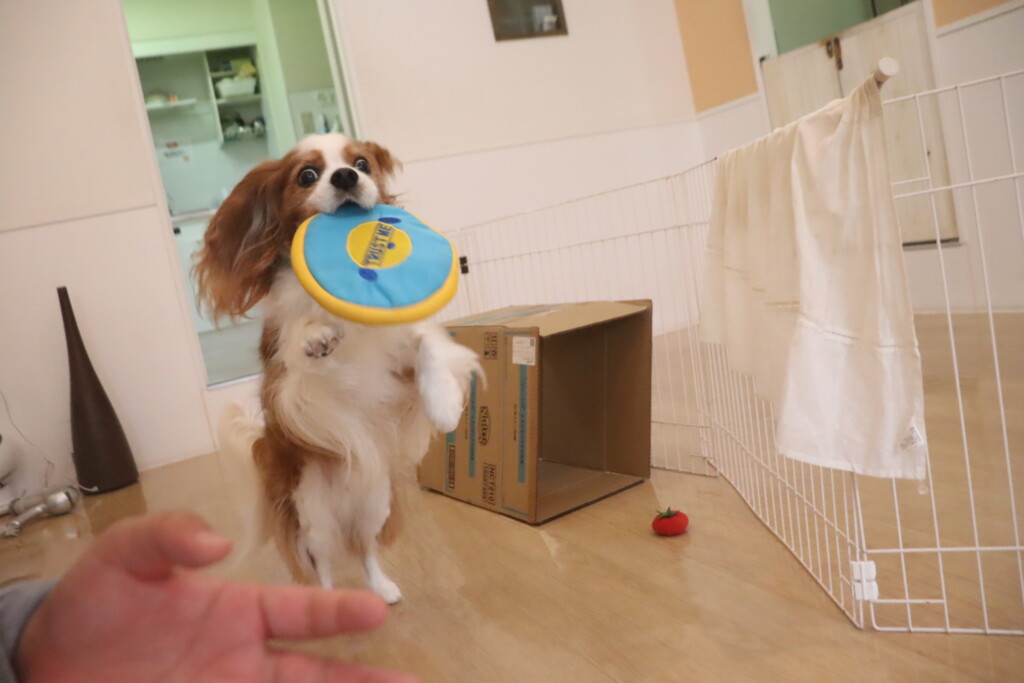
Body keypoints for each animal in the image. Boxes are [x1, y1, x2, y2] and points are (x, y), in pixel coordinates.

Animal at [195, 133, 479, 603]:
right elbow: (301, 347)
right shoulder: (289, 389)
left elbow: (428, 347)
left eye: (361, 163)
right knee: (323, 563)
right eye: (307, 175)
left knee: (365, 549)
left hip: (375, 503)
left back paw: (382, 588)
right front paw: (317, 335)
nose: (345, 177)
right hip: (312, 516)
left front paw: (444, 405)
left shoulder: (401, 351)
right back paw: (325, 603)